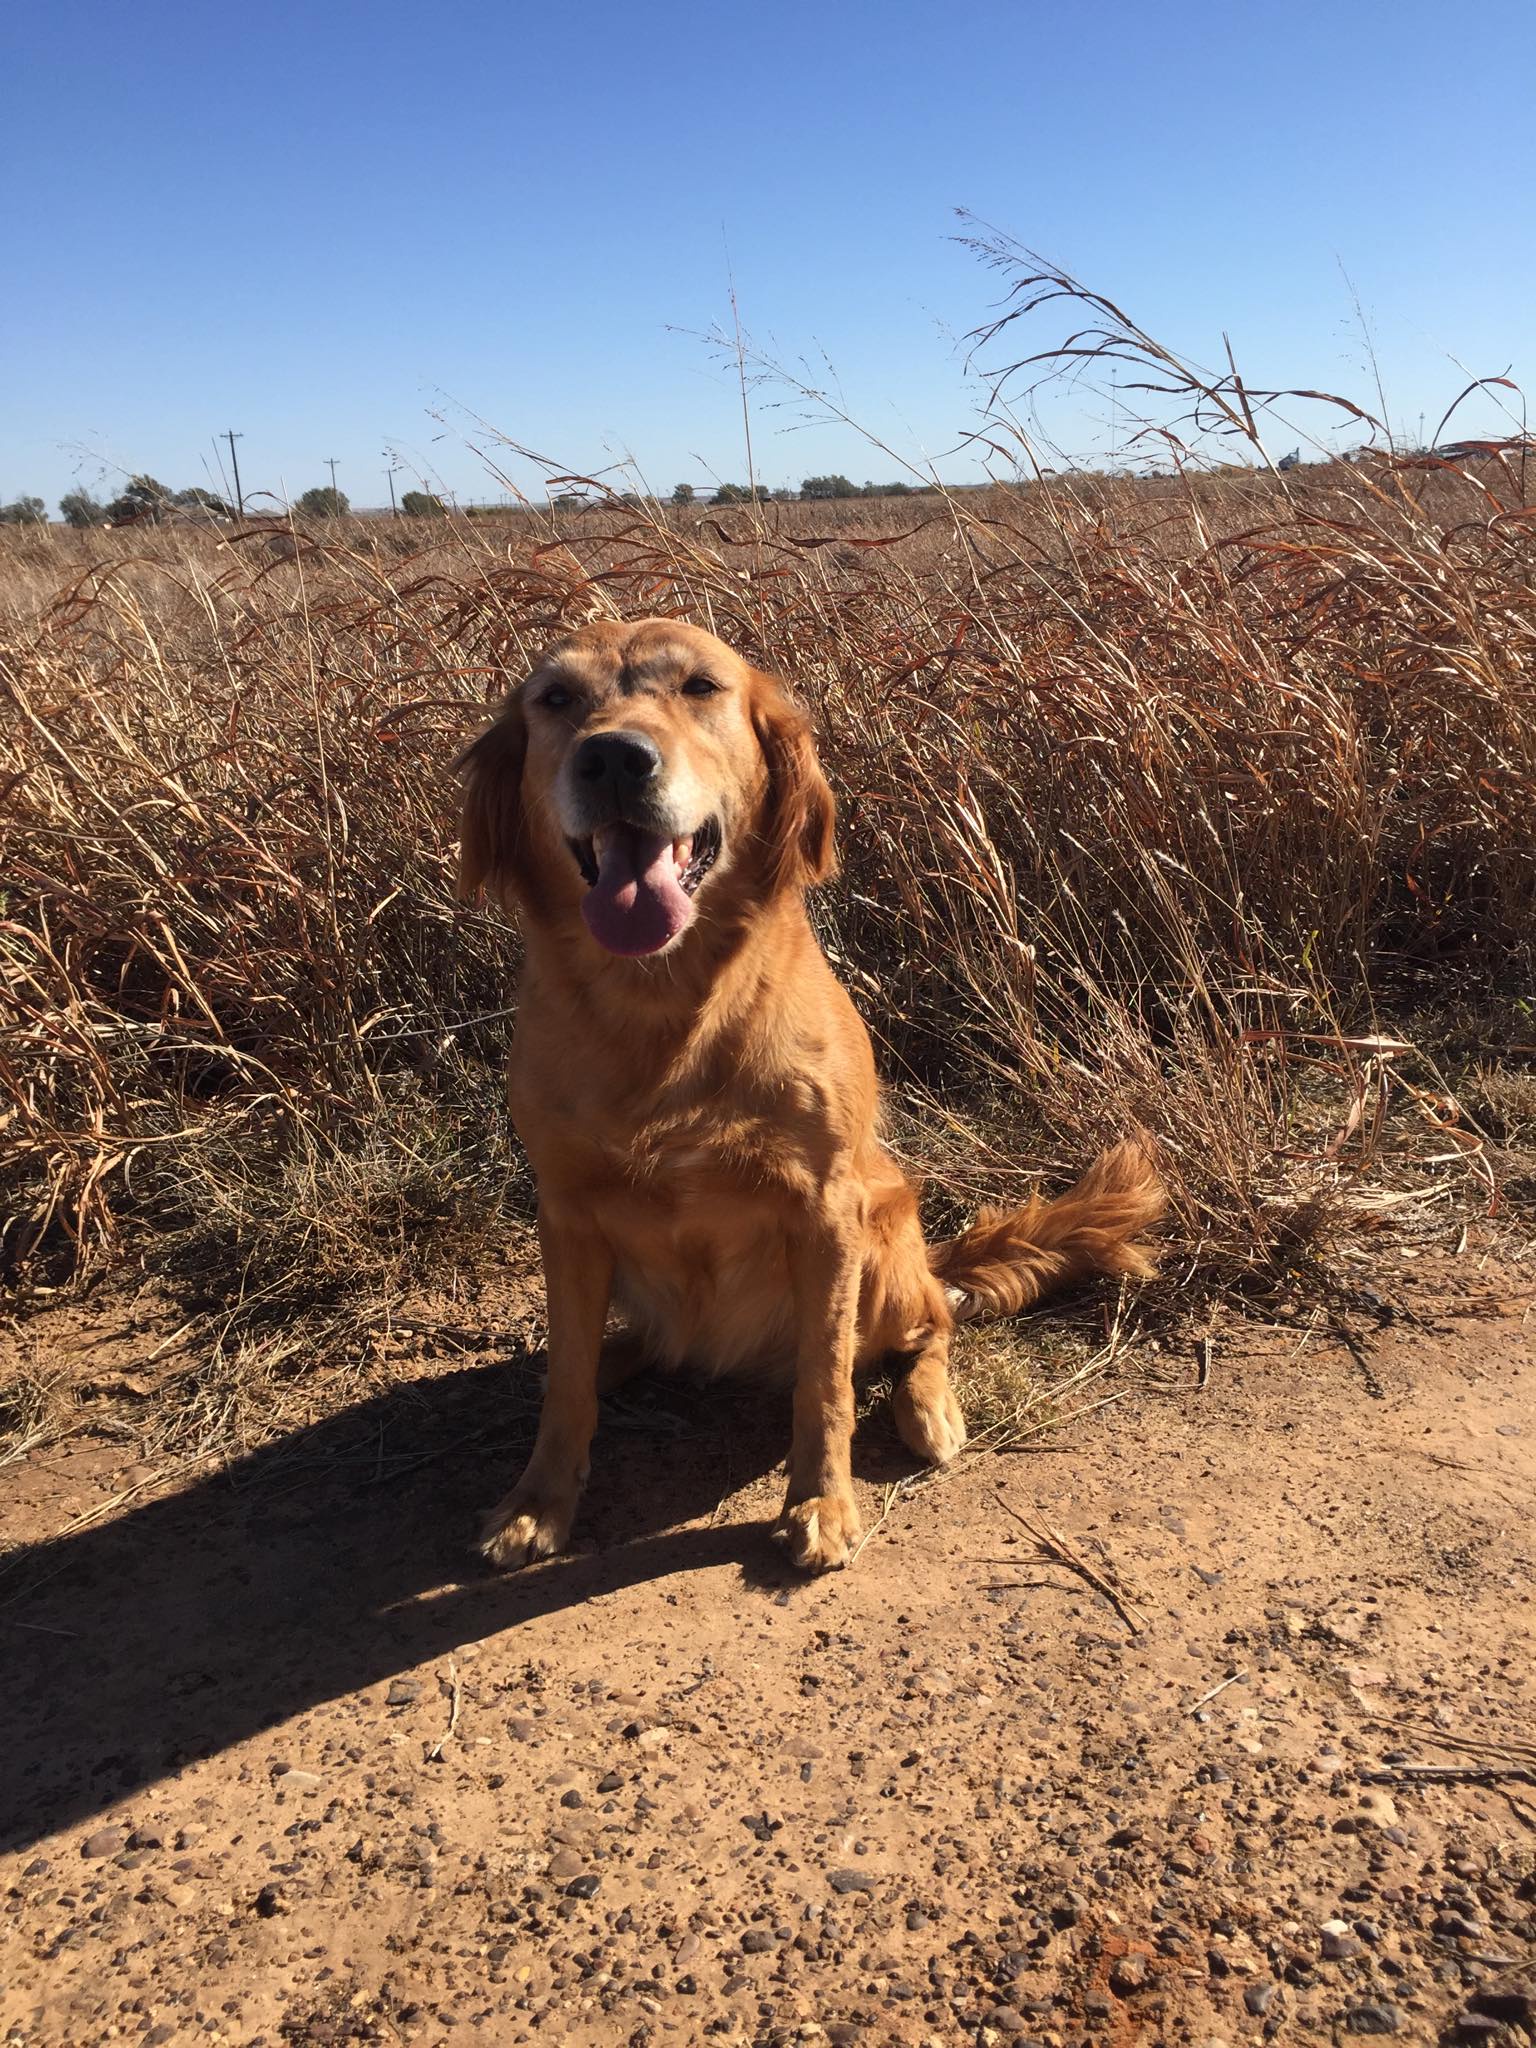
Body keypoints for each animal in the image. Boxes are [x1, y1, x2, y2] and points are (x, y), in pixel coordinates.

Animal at [456, 614, 1163, 1572]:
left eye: (702, 687)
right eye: (556, 699)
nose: (613, 758)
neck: (662, 1007)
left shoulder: (825, 1208)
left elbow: (824, 1381)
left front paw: (822, 1502)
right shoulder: (564, 1213)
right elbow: (566, 1382)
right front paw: (538, 1501)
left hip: (885, 1238)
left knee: (933, 1323)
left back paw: (929, 1407)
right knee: (609, 1351)